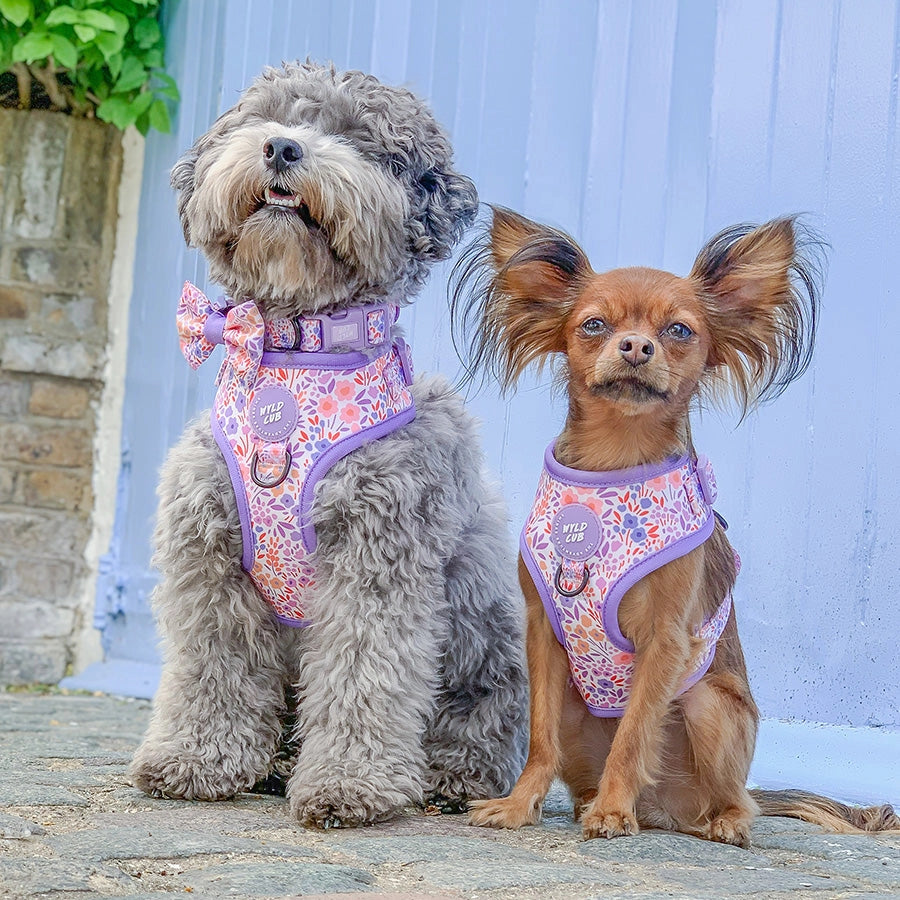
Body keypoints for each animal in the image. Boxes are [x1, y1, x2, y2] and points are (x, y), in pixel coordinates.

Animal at [130, 59, 532, 828]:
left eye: (355, 139)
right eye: (268, 116)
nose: (283, 148)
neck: (294, 349)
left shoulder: (377, 558)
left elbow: (364, 673)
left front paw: (351, 785)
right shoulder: (209, 557)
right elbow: (211, 666)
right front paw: (196, 759)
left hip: (487, 643)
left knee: (483, 722)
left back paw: (451, 777)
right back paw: (274, 764)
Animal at [454, 209, 896, 844]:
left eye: (680, 331)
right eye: (593, 324)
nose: (636, 346)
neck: (617, 460)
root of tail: (667, 812)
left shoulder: (665, 642)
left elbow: (635, 731)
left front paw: (613, 812)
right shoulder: (543, 634)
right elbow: (539, 739)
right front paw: (517, 806)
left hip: (710, 703)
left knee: (738, 797)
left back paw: (716, 822)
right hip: (582, 707)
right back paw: (597, 804)